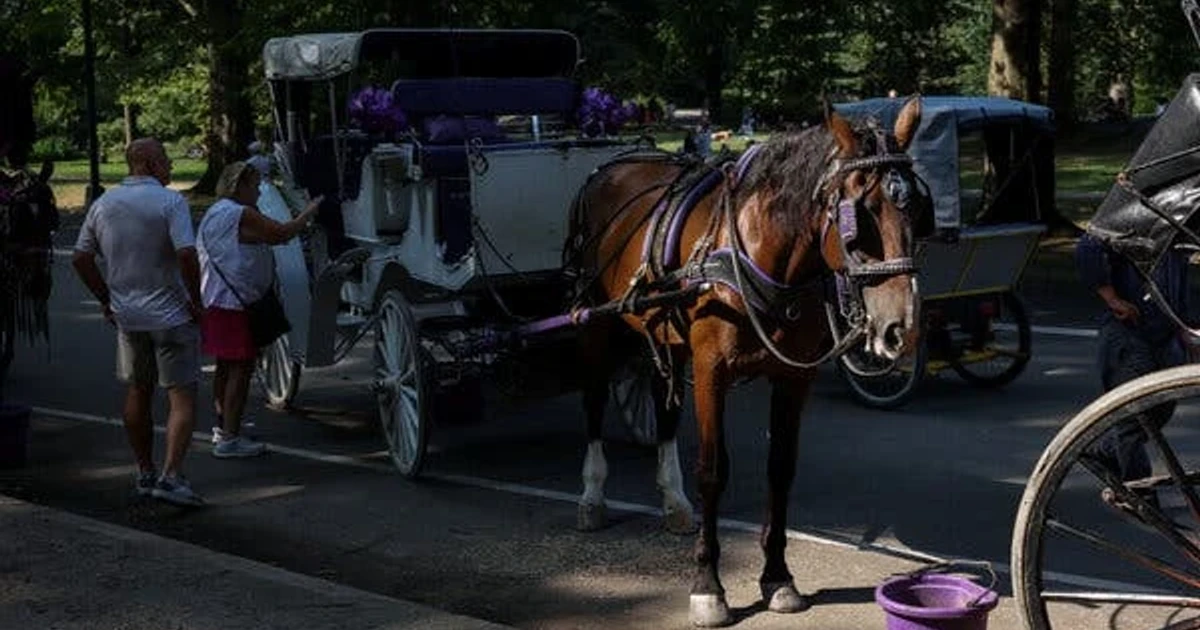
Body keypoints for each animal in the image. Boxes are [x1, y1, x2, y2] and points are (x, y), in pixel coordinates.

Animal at [566, 97, 926, 627]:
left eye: (917, 209)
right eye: (858, 218)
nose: (901, 327)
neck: (758, 252)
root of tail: (610, 166)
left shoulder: (794, 376)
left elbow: (782, 469)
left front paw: (777, 576)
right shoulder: (711, 371)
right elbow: (713, 471)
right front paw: (707, 586)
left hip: (663, 335)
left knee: (663, 408)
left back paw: (673, 501)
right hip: (595, 322)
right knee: (591, 400)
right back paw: (591, 497)